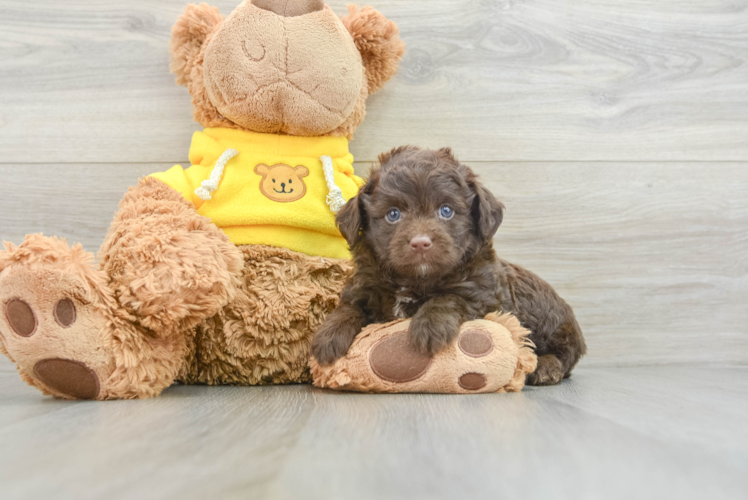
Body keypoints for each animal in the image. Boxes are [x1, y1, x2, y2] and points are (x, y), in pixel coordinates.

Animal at [310, 146, 584, 384]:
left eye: (446, 211)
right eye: (393, 214)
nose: (421, 243)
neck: (414, 279)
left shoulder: (483, 293)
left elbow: (451, 296)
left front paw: (430, 326)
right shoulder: (364, 285)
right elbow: (349, 307)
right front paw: (328, 336)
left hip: (551, 319)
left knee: (565, 355)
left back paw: (546, 367)